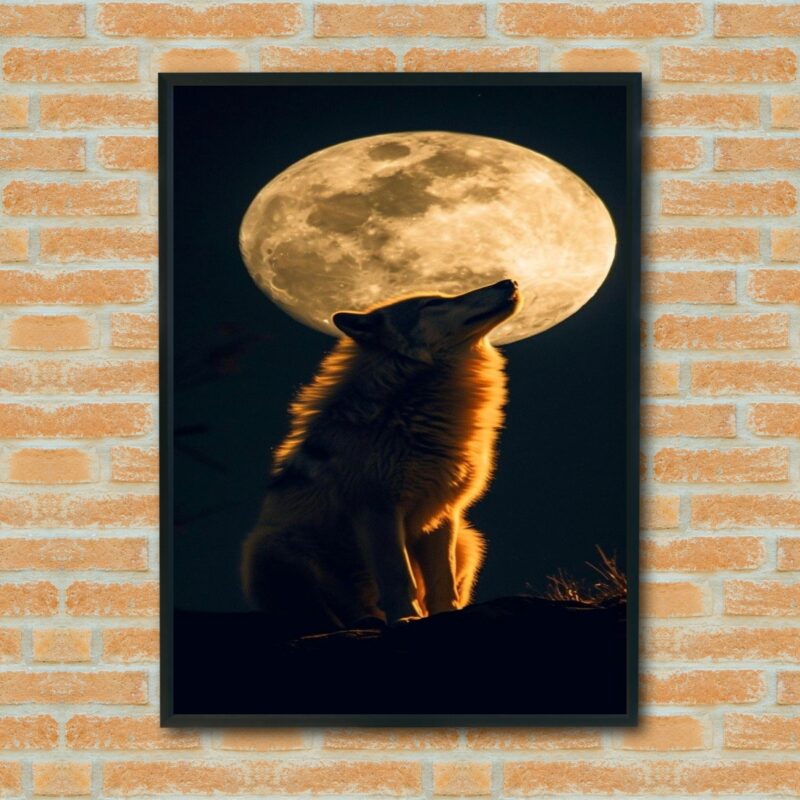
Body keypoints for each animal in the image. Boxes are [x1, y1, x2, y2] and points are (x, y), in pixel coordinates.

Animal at [241, 278, 521, 634]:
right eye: (433, 303)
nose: (508, 281)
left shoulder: (442, 513)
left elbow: (442, 582)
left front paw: (447, 615)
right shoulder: (379, 508)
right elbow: (399, 577)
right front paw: (406, 618)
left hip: (469, 541)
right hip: (270, 546)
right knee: (325, 614)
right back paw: (363, 621)